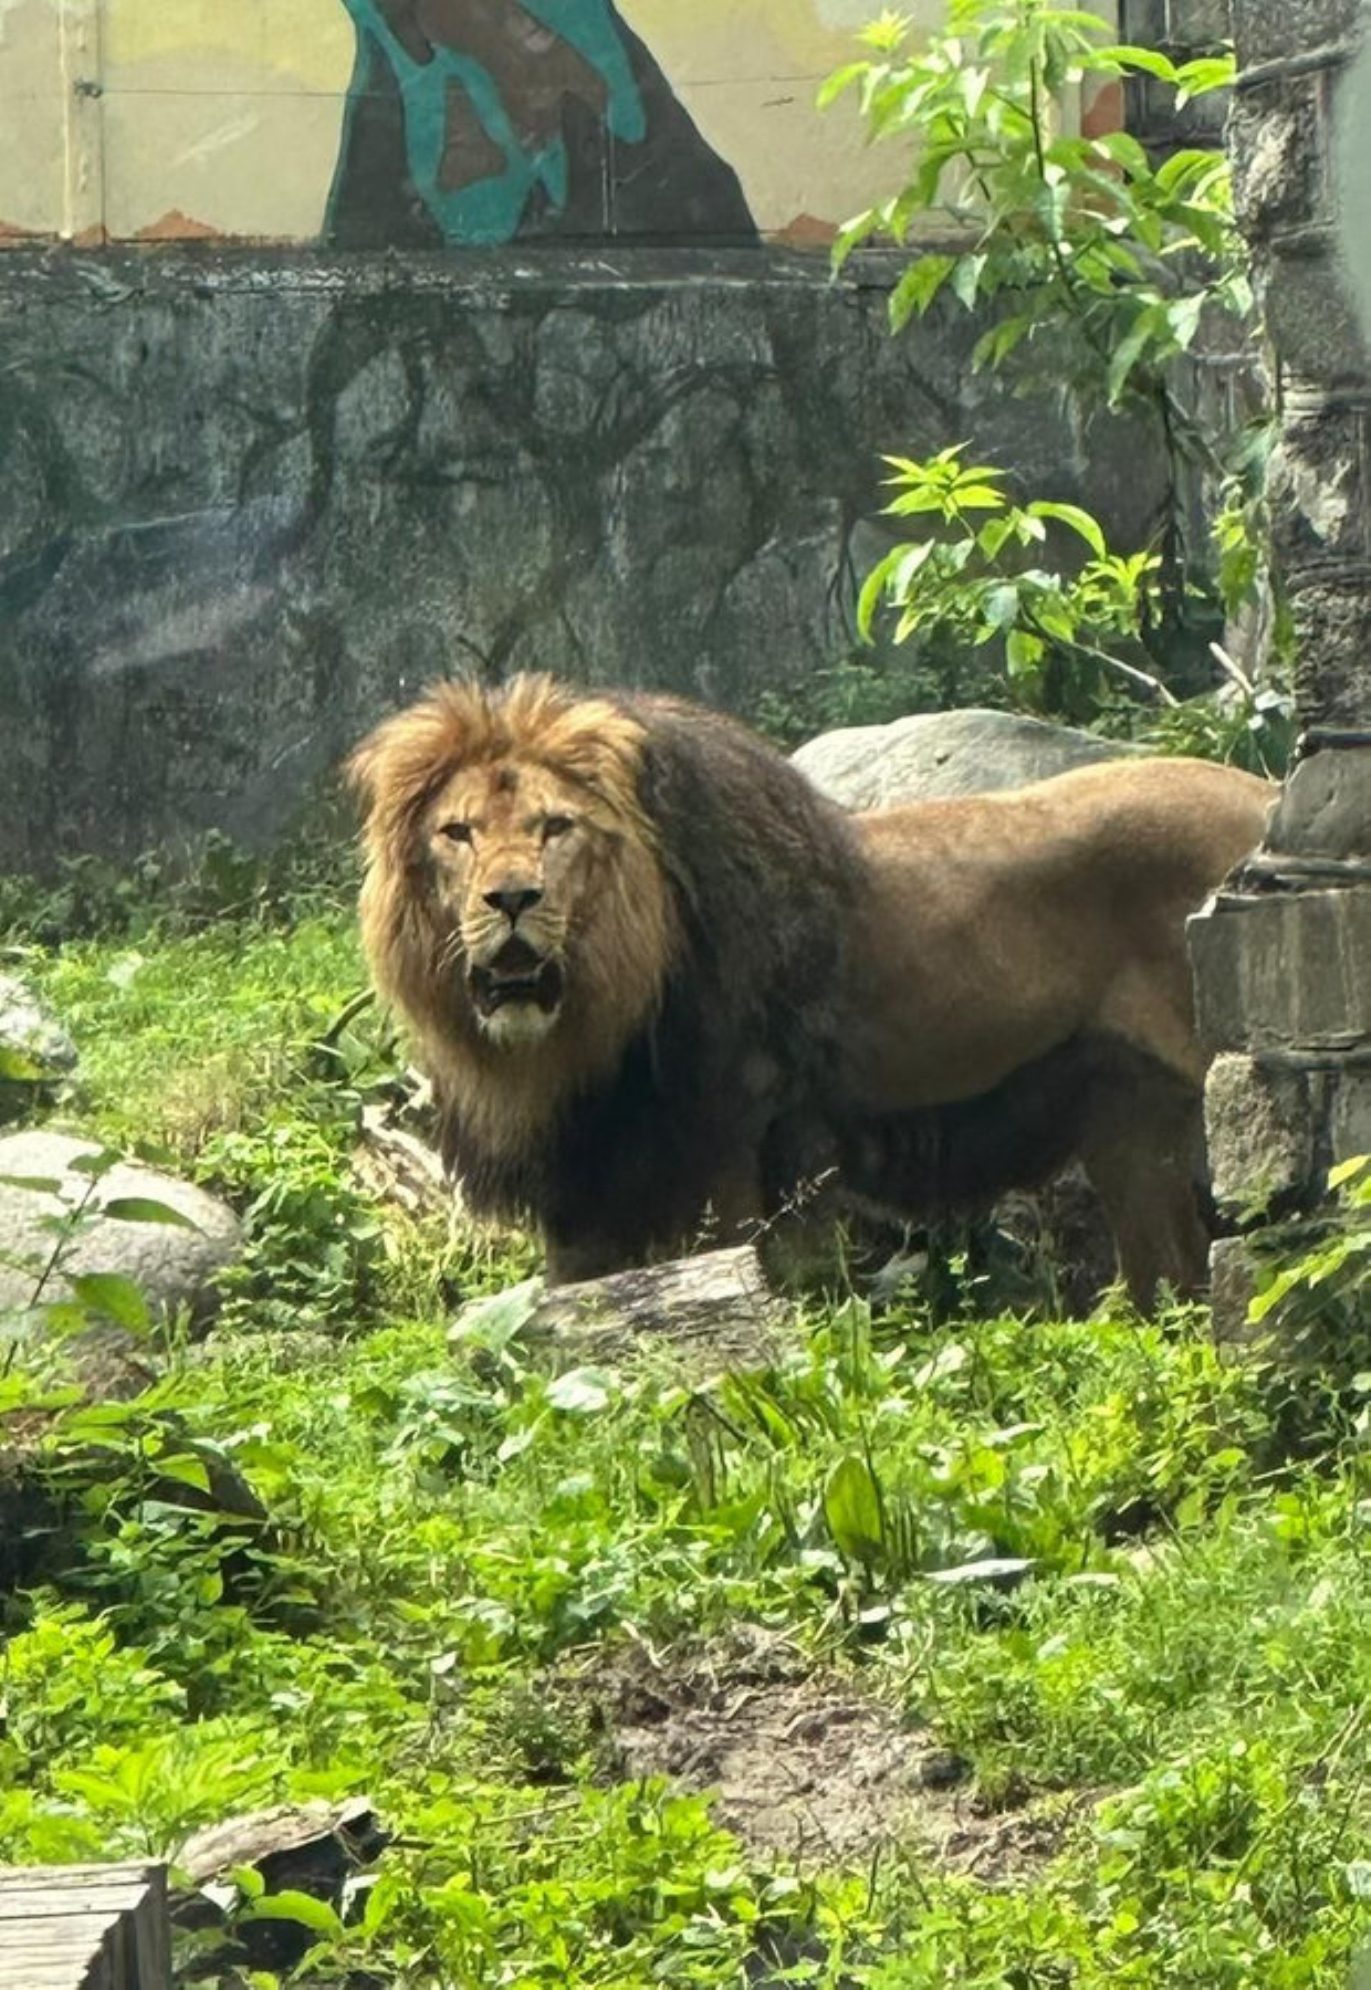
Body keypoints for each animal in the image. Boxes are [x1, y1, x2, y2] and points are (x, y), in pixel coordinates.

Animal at [347, 674, 1272, 1306]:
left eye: (555, 828)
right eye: (458, 833)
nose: (512, 899)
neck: (582, 1033)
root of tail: (1266, 793)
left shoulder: (738, 1146)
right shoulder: (581, 1199)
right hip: (1130, 1116)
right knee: (1171, 1279)